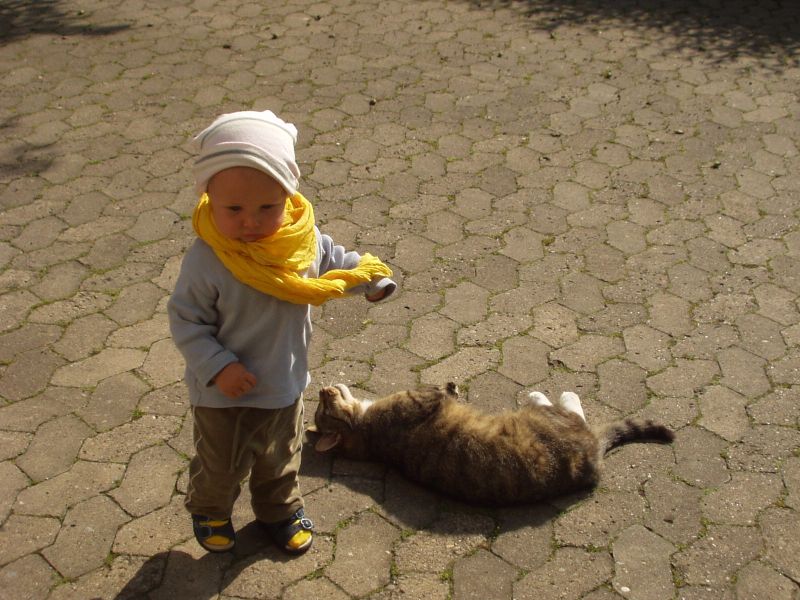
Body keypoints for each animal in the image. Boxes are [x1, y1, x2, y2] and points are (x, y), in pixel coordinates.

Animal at [308, 383, 674, 507]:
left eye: (322, 404)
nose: (323, 386)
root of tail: (593, 453)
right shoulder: (422, 399)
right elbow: (437, 390)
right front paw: (450, 388)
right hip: (551, 422)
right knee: (569, 410)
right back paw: (547, 396)